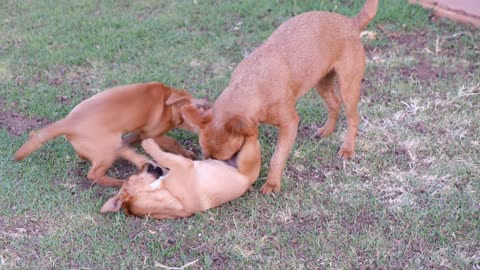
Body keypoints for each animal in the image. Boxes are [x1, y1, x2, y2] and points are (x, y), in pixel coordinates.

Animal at [14, 82, 209, 187]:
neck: (169, 104)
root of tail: (69, 122)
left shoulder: (139, 133)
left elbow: (132, 139)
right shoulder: (154, 134)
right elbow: (172, 142)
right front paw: (188, 154)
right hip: (108, 150)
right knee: (94, 174)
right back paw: (119, 182)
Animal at [99, 137, 260, 219]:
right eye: (133, 177)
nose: (146, 165)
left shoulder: (168, 167)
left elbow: (152, 157)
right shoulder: (181, 165)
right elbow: (159, 154)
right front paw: (147, 141)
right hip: (248, 154)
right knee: (250, 135)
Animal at [180, 0, 378, 194]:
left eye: (228, 157)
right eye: (206, 156)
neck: (252, 85)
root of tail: (351, 22)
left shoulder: (290, 123)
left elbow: (277, 157)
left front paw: (272, 184)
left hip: (348, 87)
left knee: (353, 118)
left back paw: (347, 149)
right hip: (322, 83)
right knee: (334, 104)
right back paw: (327, 130)